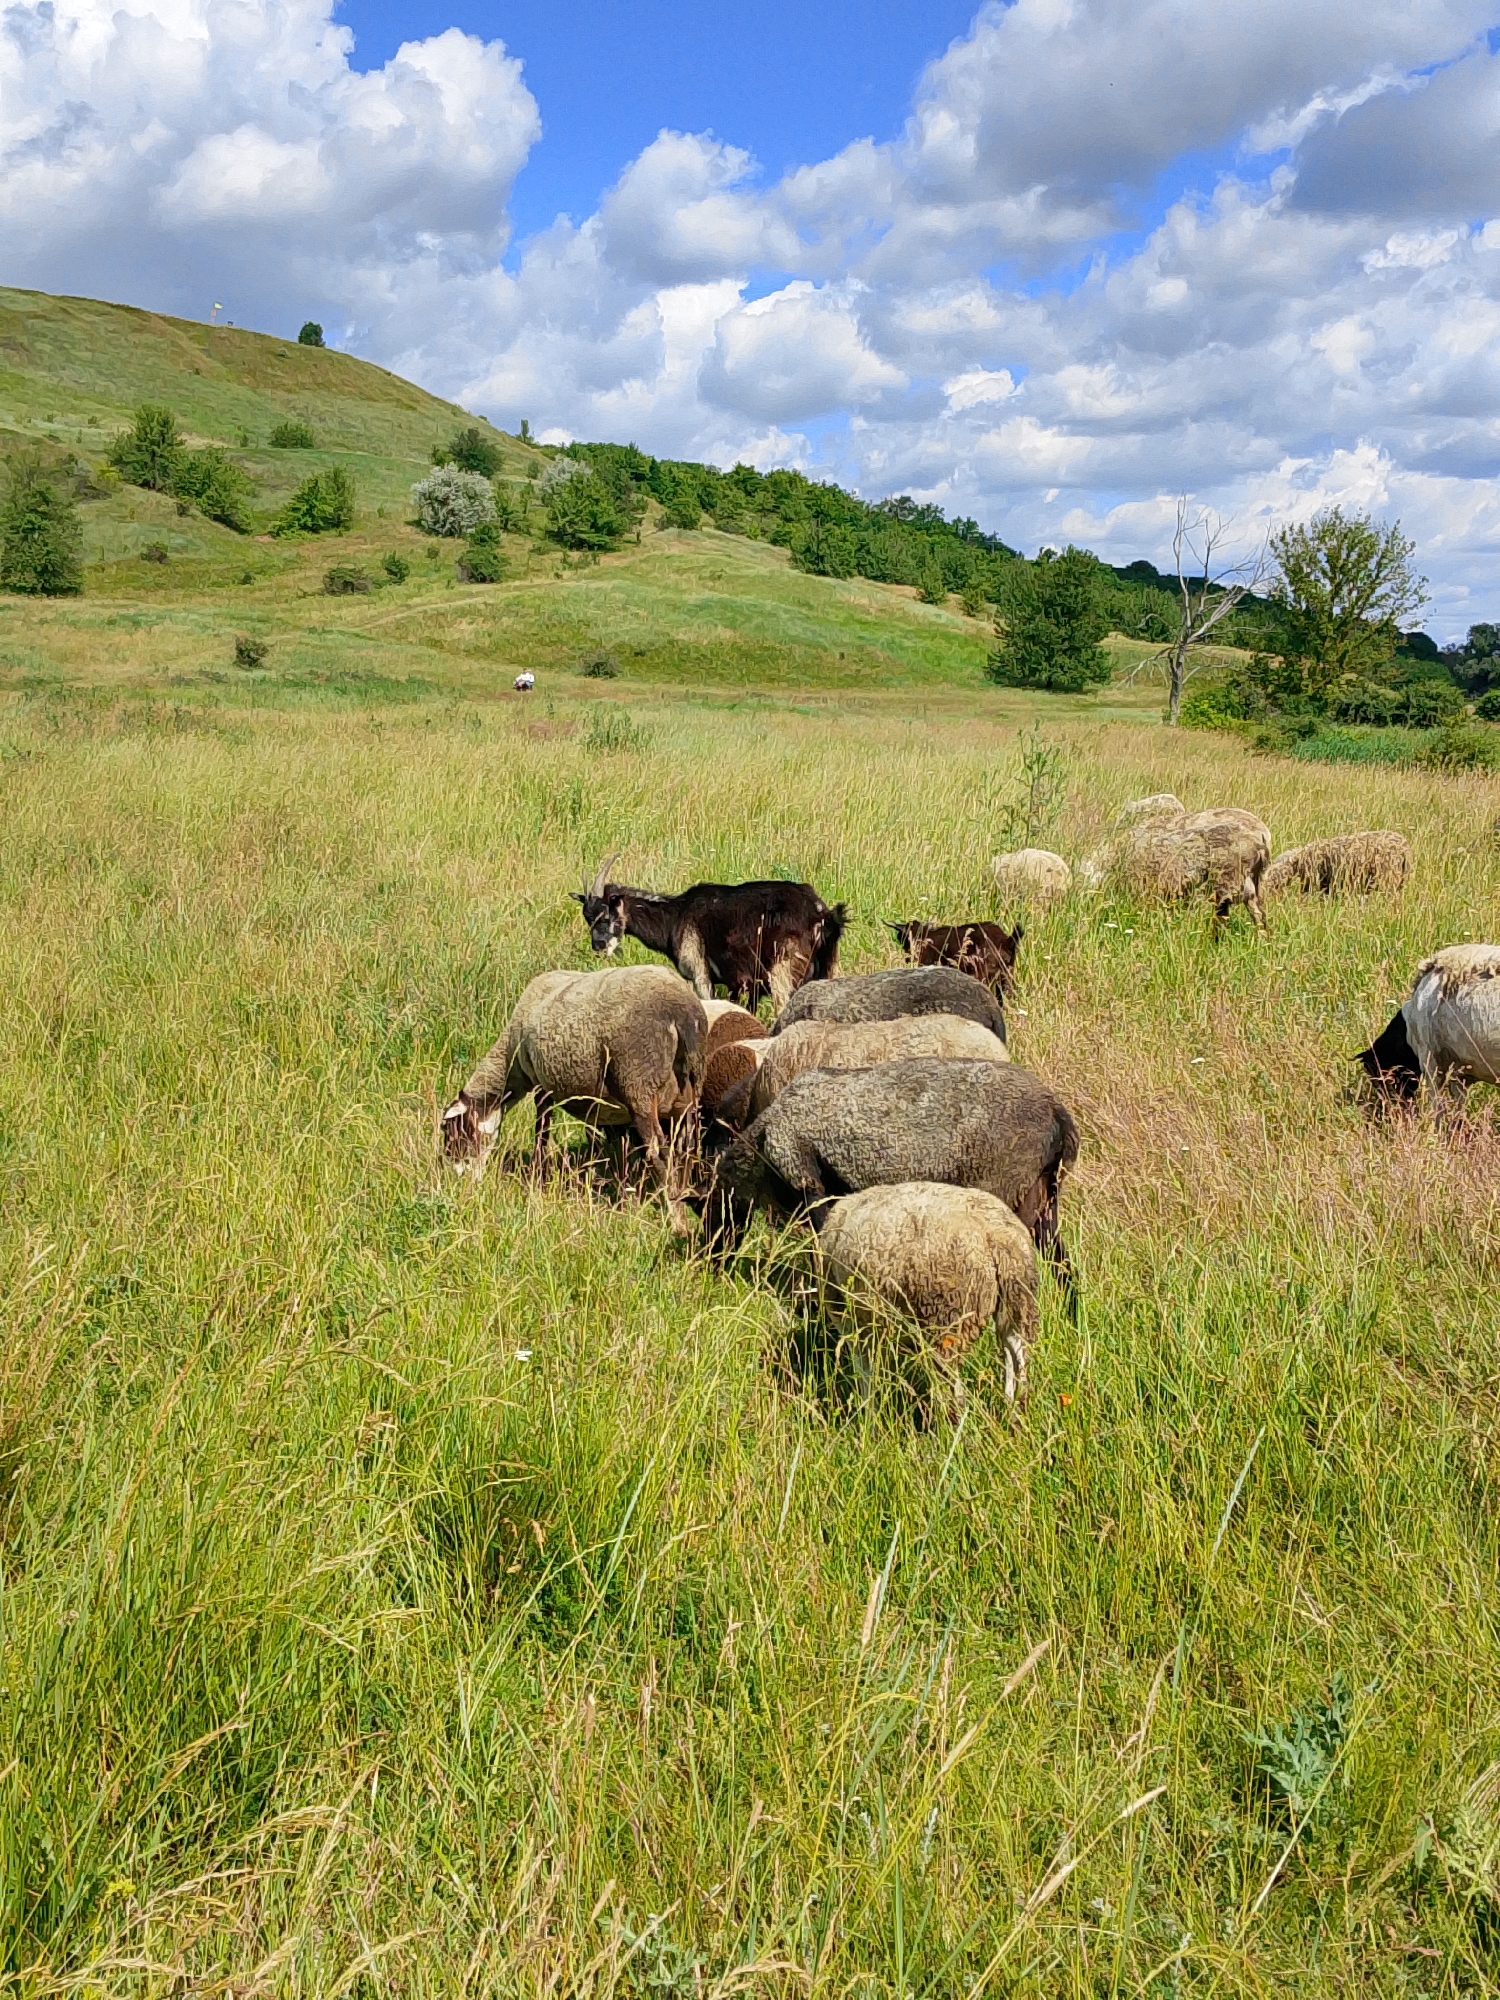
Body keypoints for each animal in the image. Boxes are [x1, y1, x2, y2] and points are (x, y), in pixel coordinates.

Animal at [440, 965, 706, 1224]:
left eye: (454, 1133)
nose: (459, 1180)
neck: (509, 1061)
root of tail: (681, 1011)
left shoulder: (541, 1086)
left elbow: (541, 1133)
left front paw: (538, 1177)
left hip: (639, 1083)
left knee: (658, 1151)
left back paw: (676, 1219)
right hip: (686, 1098)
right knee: (686, 1149)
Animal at [573, 855, 845, 1013]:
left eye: (606, 915)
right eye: (587, 917)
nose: (599, 945)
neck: (676, 915)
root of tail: (822, 915)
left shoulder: (700, 974)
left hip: (783, 974)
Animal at [706, 1056, 1077, 1289]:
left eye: (711, 1211)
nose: (709, 1264)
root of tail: (1058, 1115)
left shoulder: (805, 1176)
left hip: (1003, 1187)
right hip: (1041, 1197)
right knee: (1064, 1266)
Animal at [815, 1183, 1039, 1405]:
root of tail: (993, 1234)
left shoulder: (853, 1323)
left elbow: (865, 1374)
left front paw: (868, 1412)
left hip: (945, 1317)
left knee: (953, 1388)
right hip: (1018, 1301)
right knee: (1017, 1361)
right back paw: (1014, 1408)